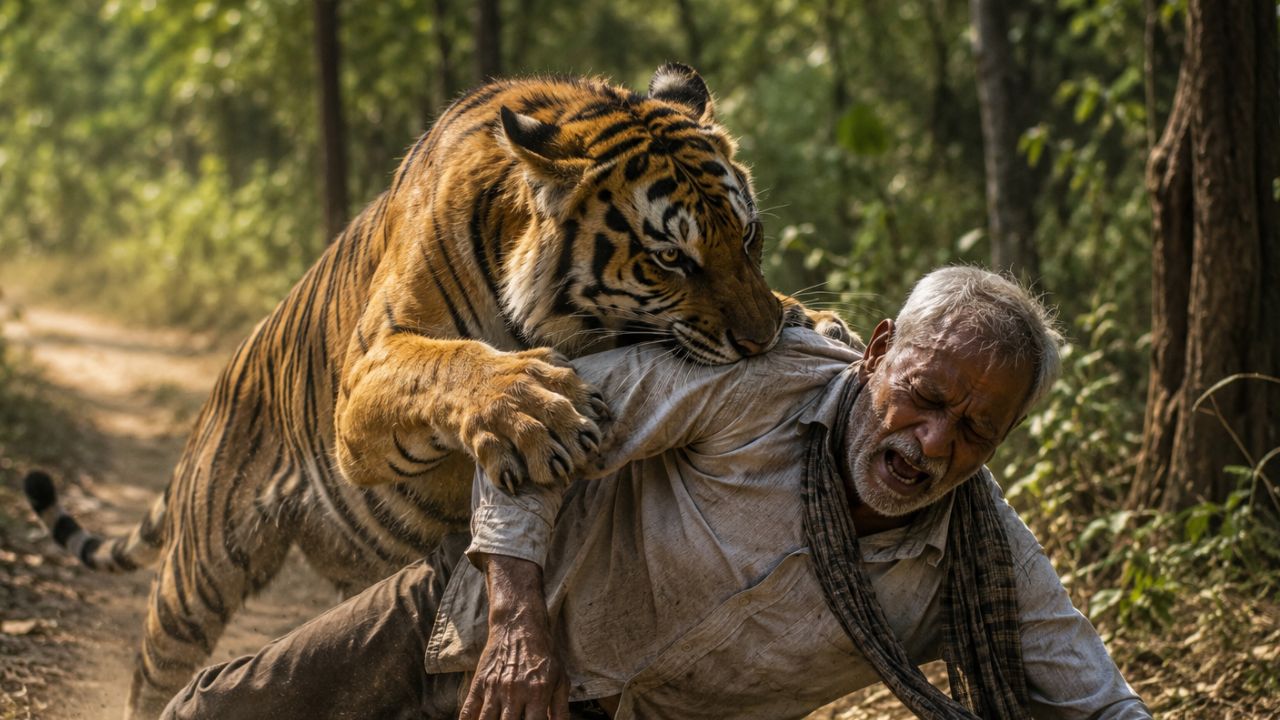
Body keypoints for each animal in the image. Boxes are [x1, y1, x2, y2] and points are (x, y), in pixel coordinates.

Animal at [23, 63, 851, 718]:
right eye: (671, 258)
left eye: (748, 237)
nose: (758, 342)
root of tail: (222, 387)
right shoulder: (368, 376)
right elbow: (449, 363)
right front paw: (533, 407)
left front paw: (817, 320)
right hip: (197, 578)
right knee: (152, 671)